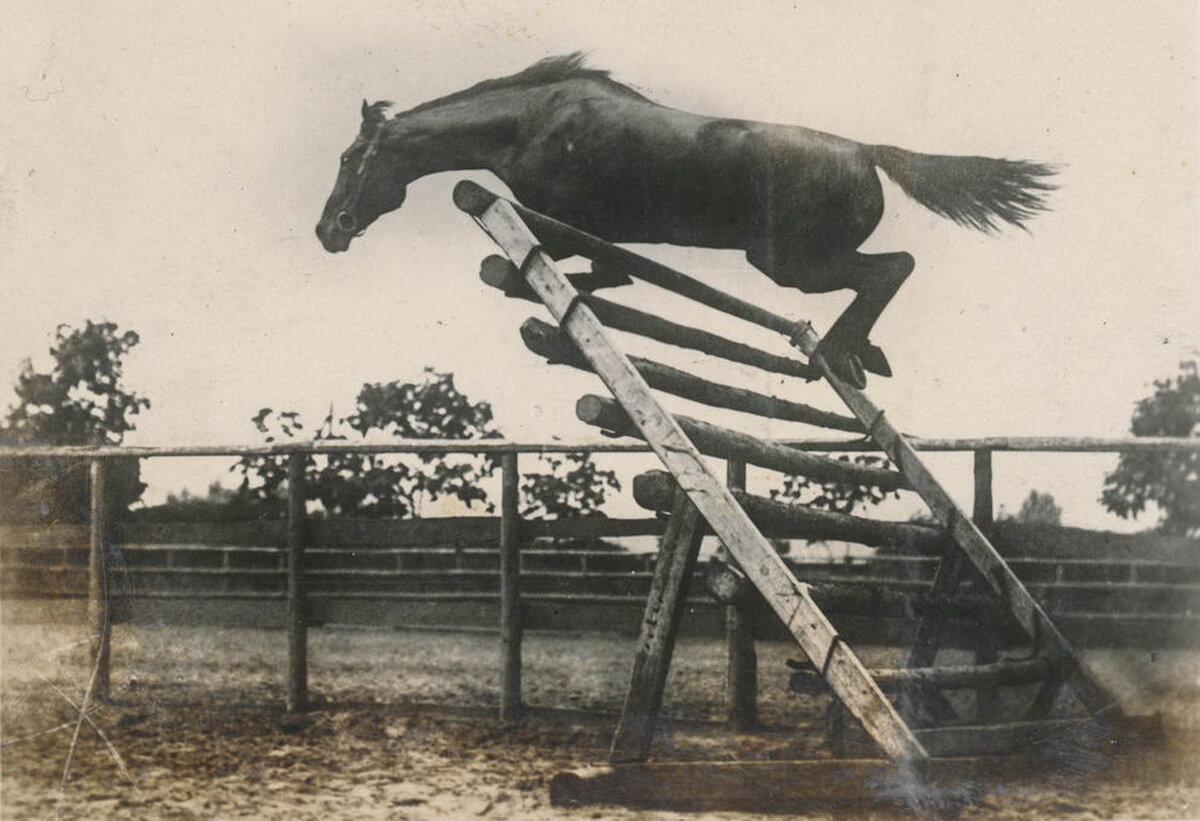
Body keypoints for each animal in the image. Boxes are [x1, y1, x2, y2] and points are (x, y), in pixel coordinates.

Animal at [316, 52, 1051, 386]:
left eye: (350, 157)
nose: (329, 231)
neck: (528, 123)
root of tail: (868, 151)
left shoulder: (564, 223)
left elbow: (562, 272)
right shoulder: (599, 238)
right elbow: (604, 277)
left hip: (789, 263)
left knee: (891, 268)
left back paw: (844, 353)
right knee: (886, 272)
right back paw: (863, 353)